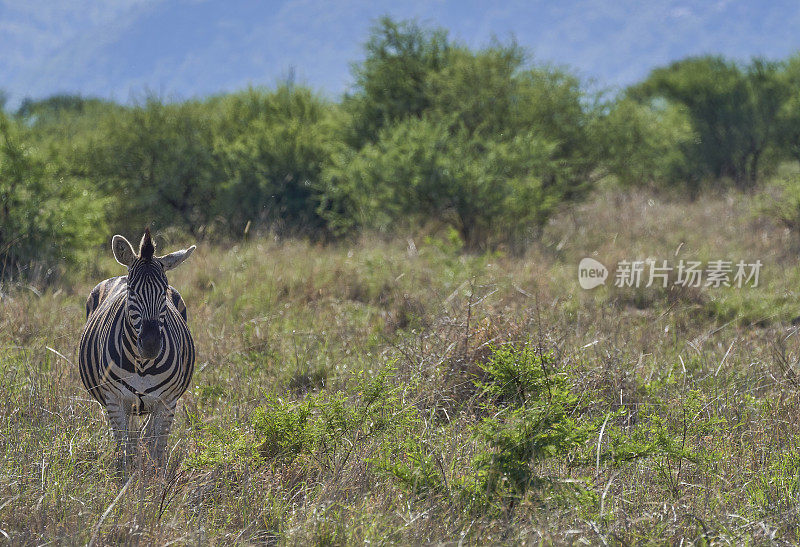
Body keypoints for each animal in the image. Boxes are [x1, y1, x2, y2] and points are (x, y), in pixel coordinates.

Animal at [78, 229, 197, 474]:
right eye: (132, 290)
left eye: (164, 291)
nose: (151, 345)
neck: (142, 365)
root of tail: (119, 275)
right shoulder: (115, 401)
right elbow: (126, 449)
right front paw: (127, 480)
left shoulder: (167, 402)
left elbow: (157, 449)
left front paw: (154, 480)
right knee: (131, 438)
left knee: (146, 435)